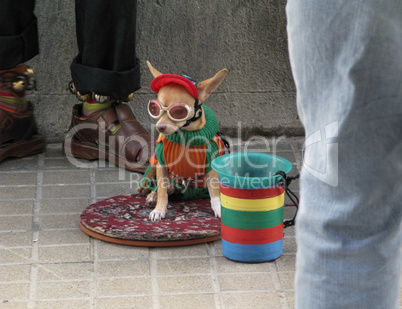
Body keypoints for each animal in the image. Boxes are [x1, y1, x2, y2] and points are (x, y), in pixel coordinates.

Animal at [137, 60, 226, 219]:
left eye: (178, 111)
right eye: (155, 108)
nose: (160, 127)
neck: (186, 137)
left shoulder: (210, 168)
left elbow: (215, 192)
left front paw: (219, 209)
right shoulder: (162, 164)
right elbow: (162, 191)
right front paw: (159, 209)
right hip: (155, 163)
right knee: (155, 185)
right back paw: (152, 195)